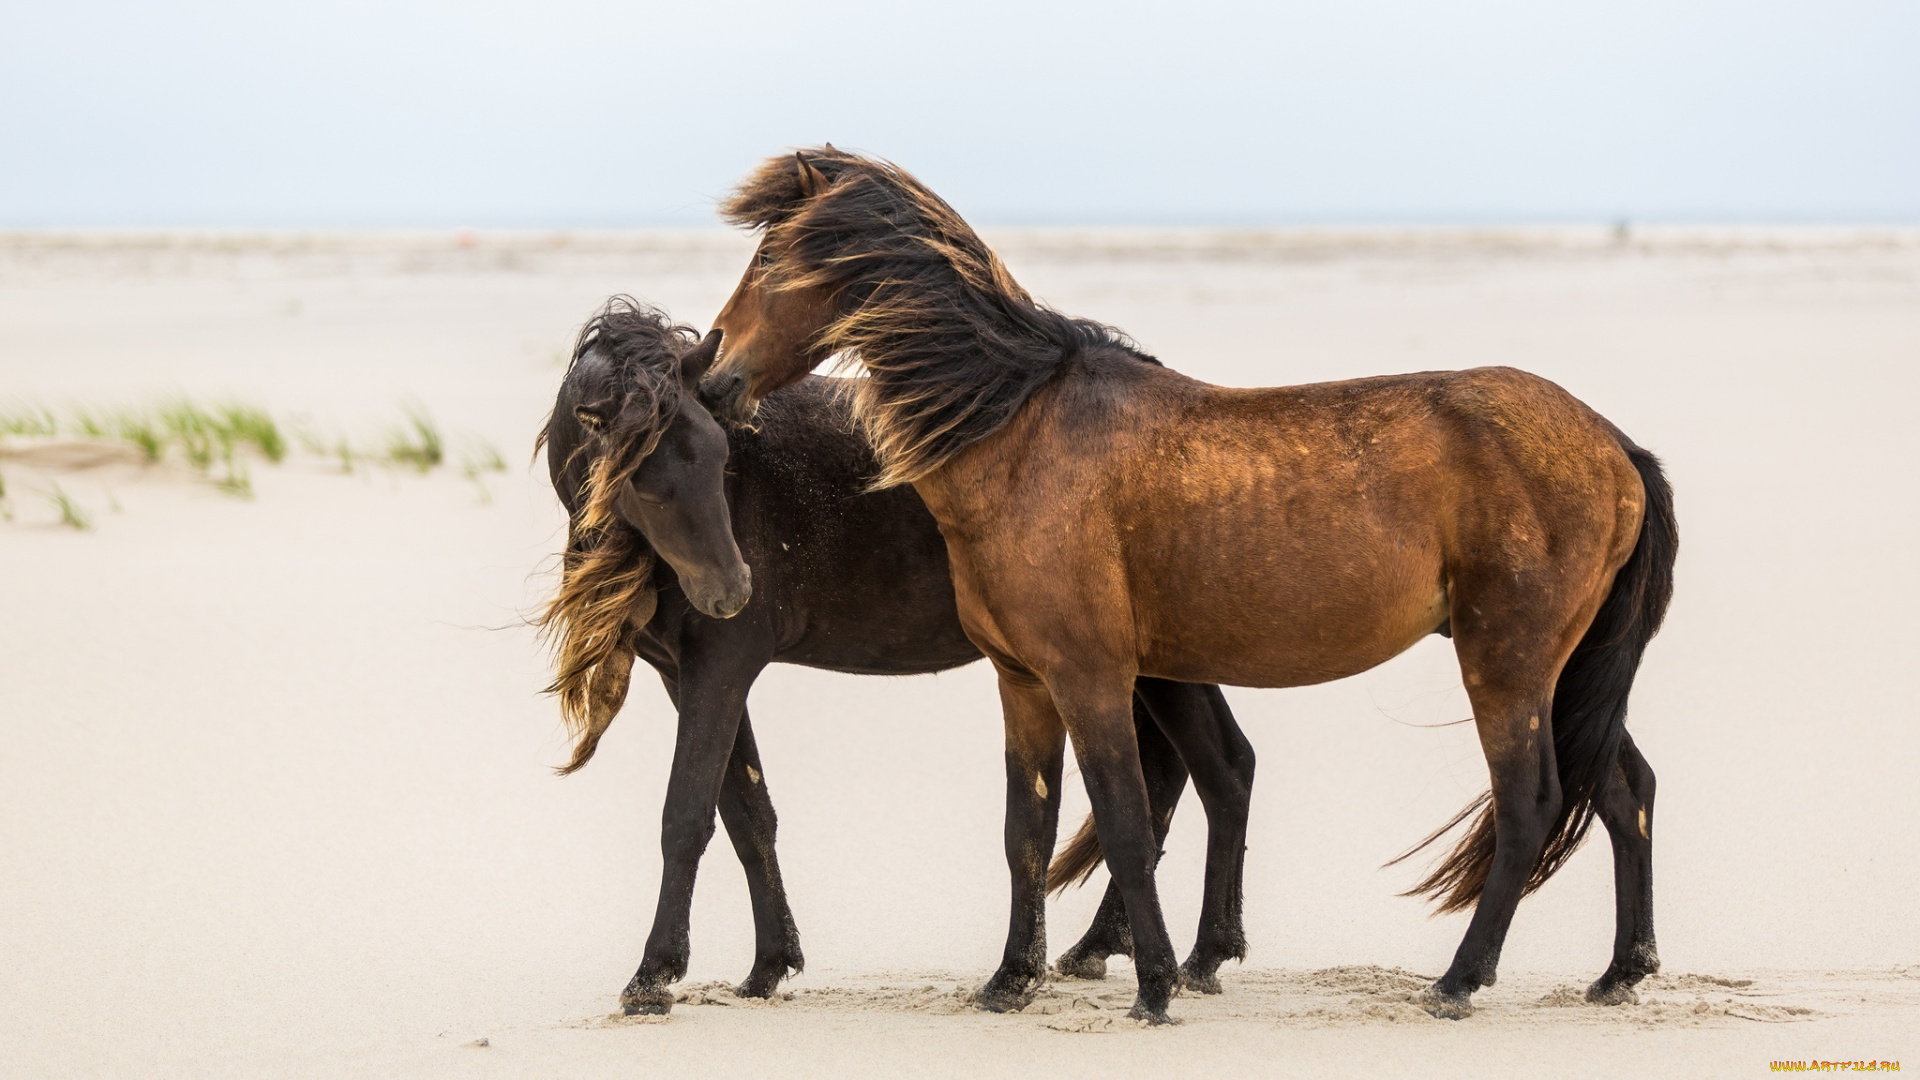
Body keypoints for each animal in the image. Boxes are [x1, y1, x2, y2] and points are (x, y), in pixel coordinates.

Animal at [541, 294, 1259, 1006]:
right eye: (645, 480)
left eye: (721, 458)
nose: (732, 591)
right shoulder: (687, 674)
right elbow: (747, 813)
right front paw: (769, 964)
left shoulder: (720, 667)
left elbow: (687, 816)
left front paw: (652, 975)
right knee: (1205, 770)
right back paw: (1132, 950)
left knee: (1210, 769)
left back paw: (1182, 955)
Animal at [698, 148, 1674, 1014]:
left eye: (769, 260)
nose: (710, 374)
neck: (1021, 433)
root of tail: (1614, 445)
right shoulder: (1023, 683)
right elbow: (1026, 833)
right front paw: (1010, 981)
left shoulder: (1090, 679)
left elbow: (1127, 823)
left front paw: (1156, 986)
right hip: (1564, 673)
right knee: (1623, 791)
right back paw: (1619, 973)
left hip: (1506, 666)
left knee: (1532, 803)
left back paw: (1459, 982)